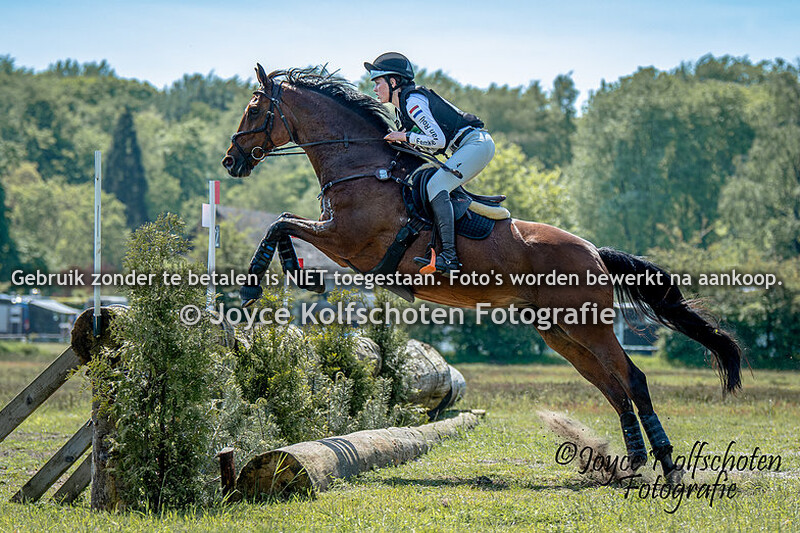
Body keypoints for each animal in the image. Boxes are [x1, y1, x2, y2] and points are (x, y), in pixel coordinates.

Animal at [222, 64, 743, 481]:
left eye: (254, 109)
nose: (231, 160)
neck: (363, 167)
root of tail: (593, 250)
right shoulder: (342, 243)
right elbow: (283, 223)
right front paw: (295, 277)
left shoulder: (349, 243)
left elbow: (281, 223)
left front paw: (260, 284)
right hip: (561, 333)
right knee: (612, 387)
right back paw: (631, 462)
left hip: (589, 326)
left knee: (632, 379)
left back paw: (668, 464)